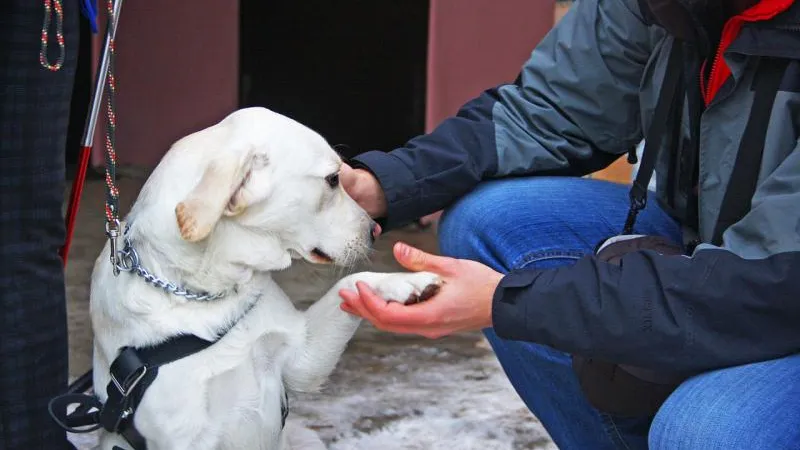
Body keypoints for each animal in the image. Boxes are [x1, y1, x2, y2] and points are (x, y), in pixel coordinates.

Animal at [89, 106, 444, 450]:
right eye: (332, 180)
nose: (375, 229)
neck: (212, 293)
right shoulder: (184, 435)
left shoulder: (301, 356)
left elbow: (350, 281)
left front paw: (405, 283)